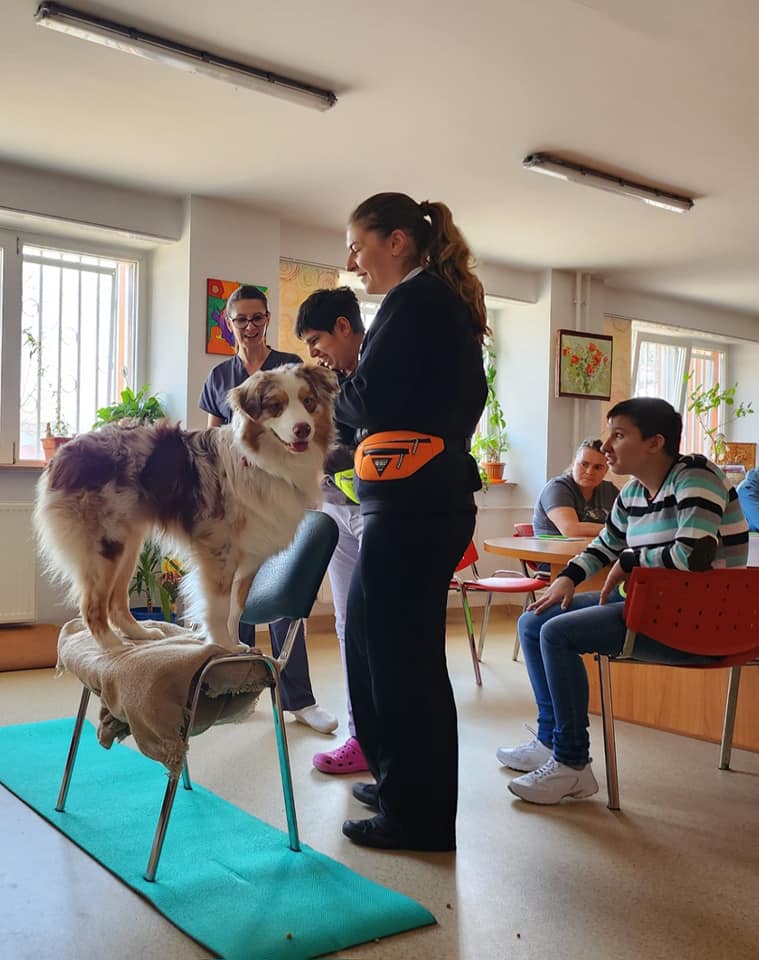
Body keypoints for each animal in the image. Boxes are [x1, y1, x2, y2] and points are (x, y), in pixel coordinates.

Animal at [34, 363, 337, 651]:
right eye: (276, 406)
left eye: (309, 402)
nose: (303, 429)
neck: (264, 464)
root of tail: (64, 453)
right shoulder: (218, 550)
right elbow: (219, 607)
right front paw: (222, 644)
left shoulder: (249, 556)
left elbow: (236, 609)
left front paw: (235, 644)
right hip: (105, 544)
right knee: (93, 605)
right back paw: (113, 646)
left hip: (129, 542)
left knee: (116, 603)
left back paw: (141, 634)